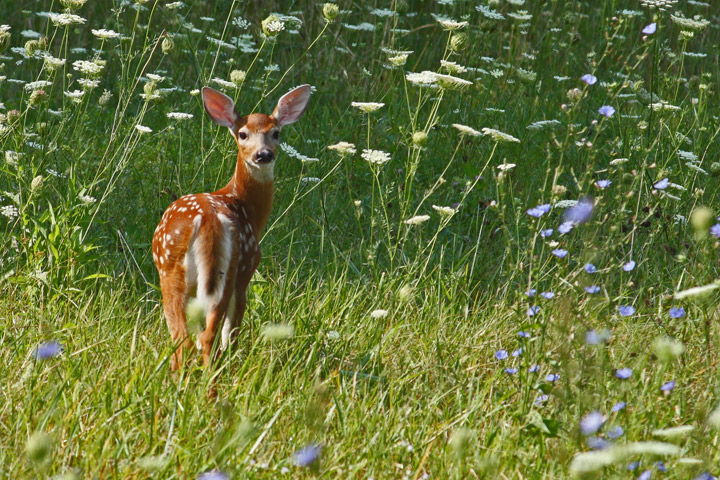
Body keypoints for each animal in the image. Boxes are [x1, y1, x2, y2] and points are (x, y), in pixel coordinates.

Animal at [152, 84, 311, 388]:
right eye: (243, 133)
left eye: (276, 133)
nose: (263, 155)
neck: (244, 205)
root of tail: (207, 220)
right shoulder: (247, 271)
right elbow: (232, 332)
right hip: (226, 270)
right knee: (204, 337)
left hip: (176, 272)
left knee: (185, 338)